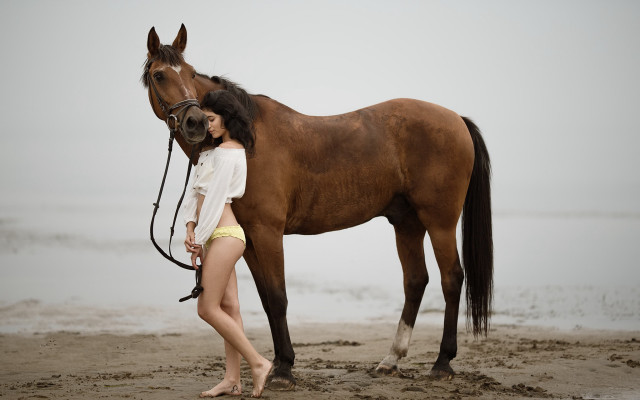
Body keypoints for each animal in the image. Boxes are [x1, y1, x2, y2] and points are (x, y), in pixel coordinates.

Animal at [142, 24, 493, 389]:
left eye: (190, 72)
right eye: (159, 75)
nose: (195, 121)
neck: (248, 139)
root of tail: (456, 119)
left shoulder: (268, 233)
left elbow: (278, 297)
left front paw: (283, 370)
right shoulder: (248, 239)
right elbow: (267, 300)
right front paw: (280, 362)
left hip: (440, 222)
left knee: (451, 279)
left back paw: (442, 362)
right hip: (407, 223)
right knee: (415, 281)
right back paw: (391, 360)